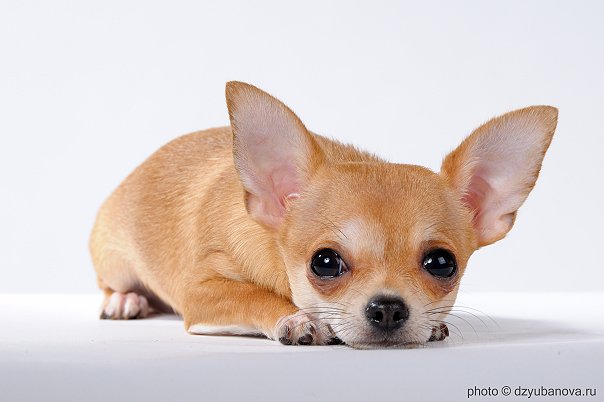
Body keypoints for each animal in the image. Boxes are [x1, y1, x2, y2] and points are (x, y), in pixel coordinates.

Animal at [90, 81, 557, 348]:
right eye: (325, 262)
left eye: (442, 263)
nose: (388, 308)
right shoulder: (201, 293)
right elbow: (251, 295)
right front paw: (299, 318)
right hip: (112, 258)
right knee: (112, 283)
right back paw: (125, 300)